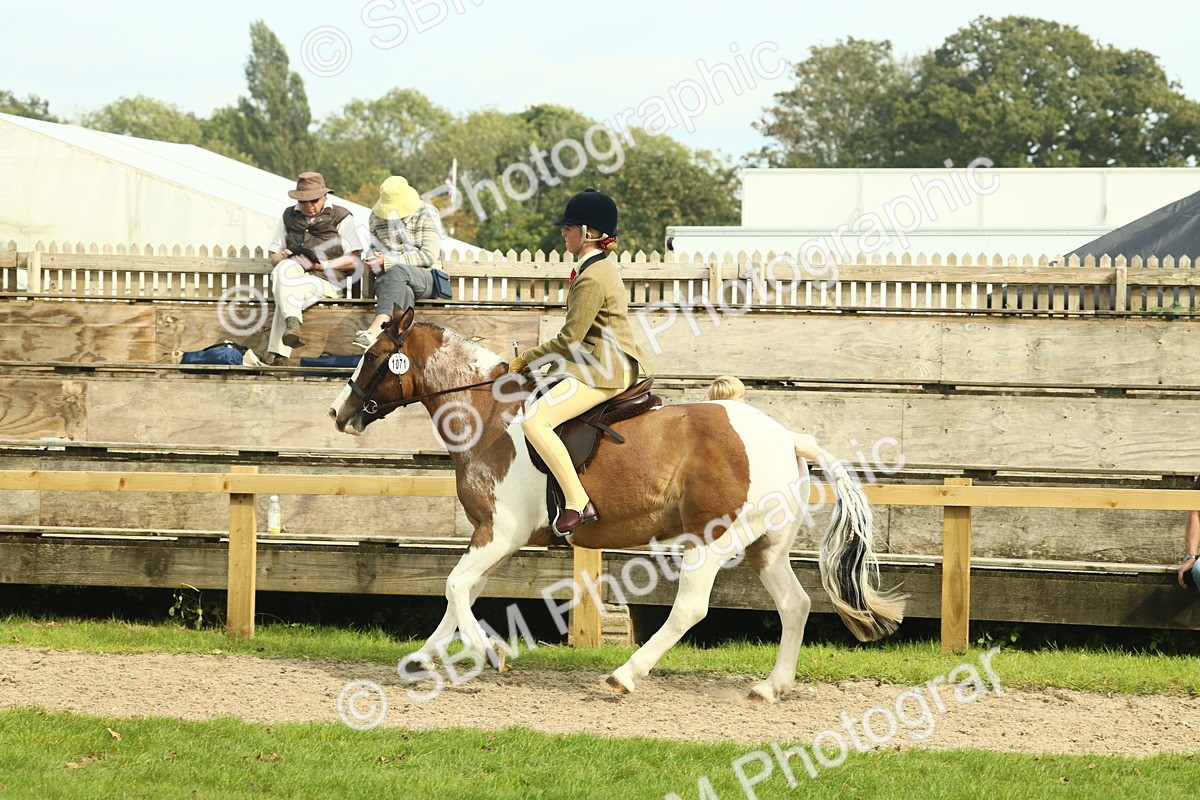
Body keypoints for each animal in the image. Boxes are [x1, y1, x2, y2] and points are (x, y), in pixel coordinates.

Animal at [329, 307, 905, 701]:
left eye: (373, 357)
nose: (339, 412)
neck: (486, 415)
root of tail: (787, 437)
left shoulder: (500, 533)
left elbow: (454, 588)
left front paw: (489, 654)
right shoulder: (488, 538)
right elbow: (459, 594)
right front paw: (423, 658)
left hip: (713, 541)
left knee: (691, 608)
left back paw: (625, 675)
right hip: (765, 546)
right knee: (795, 604)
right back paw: (771, 686)